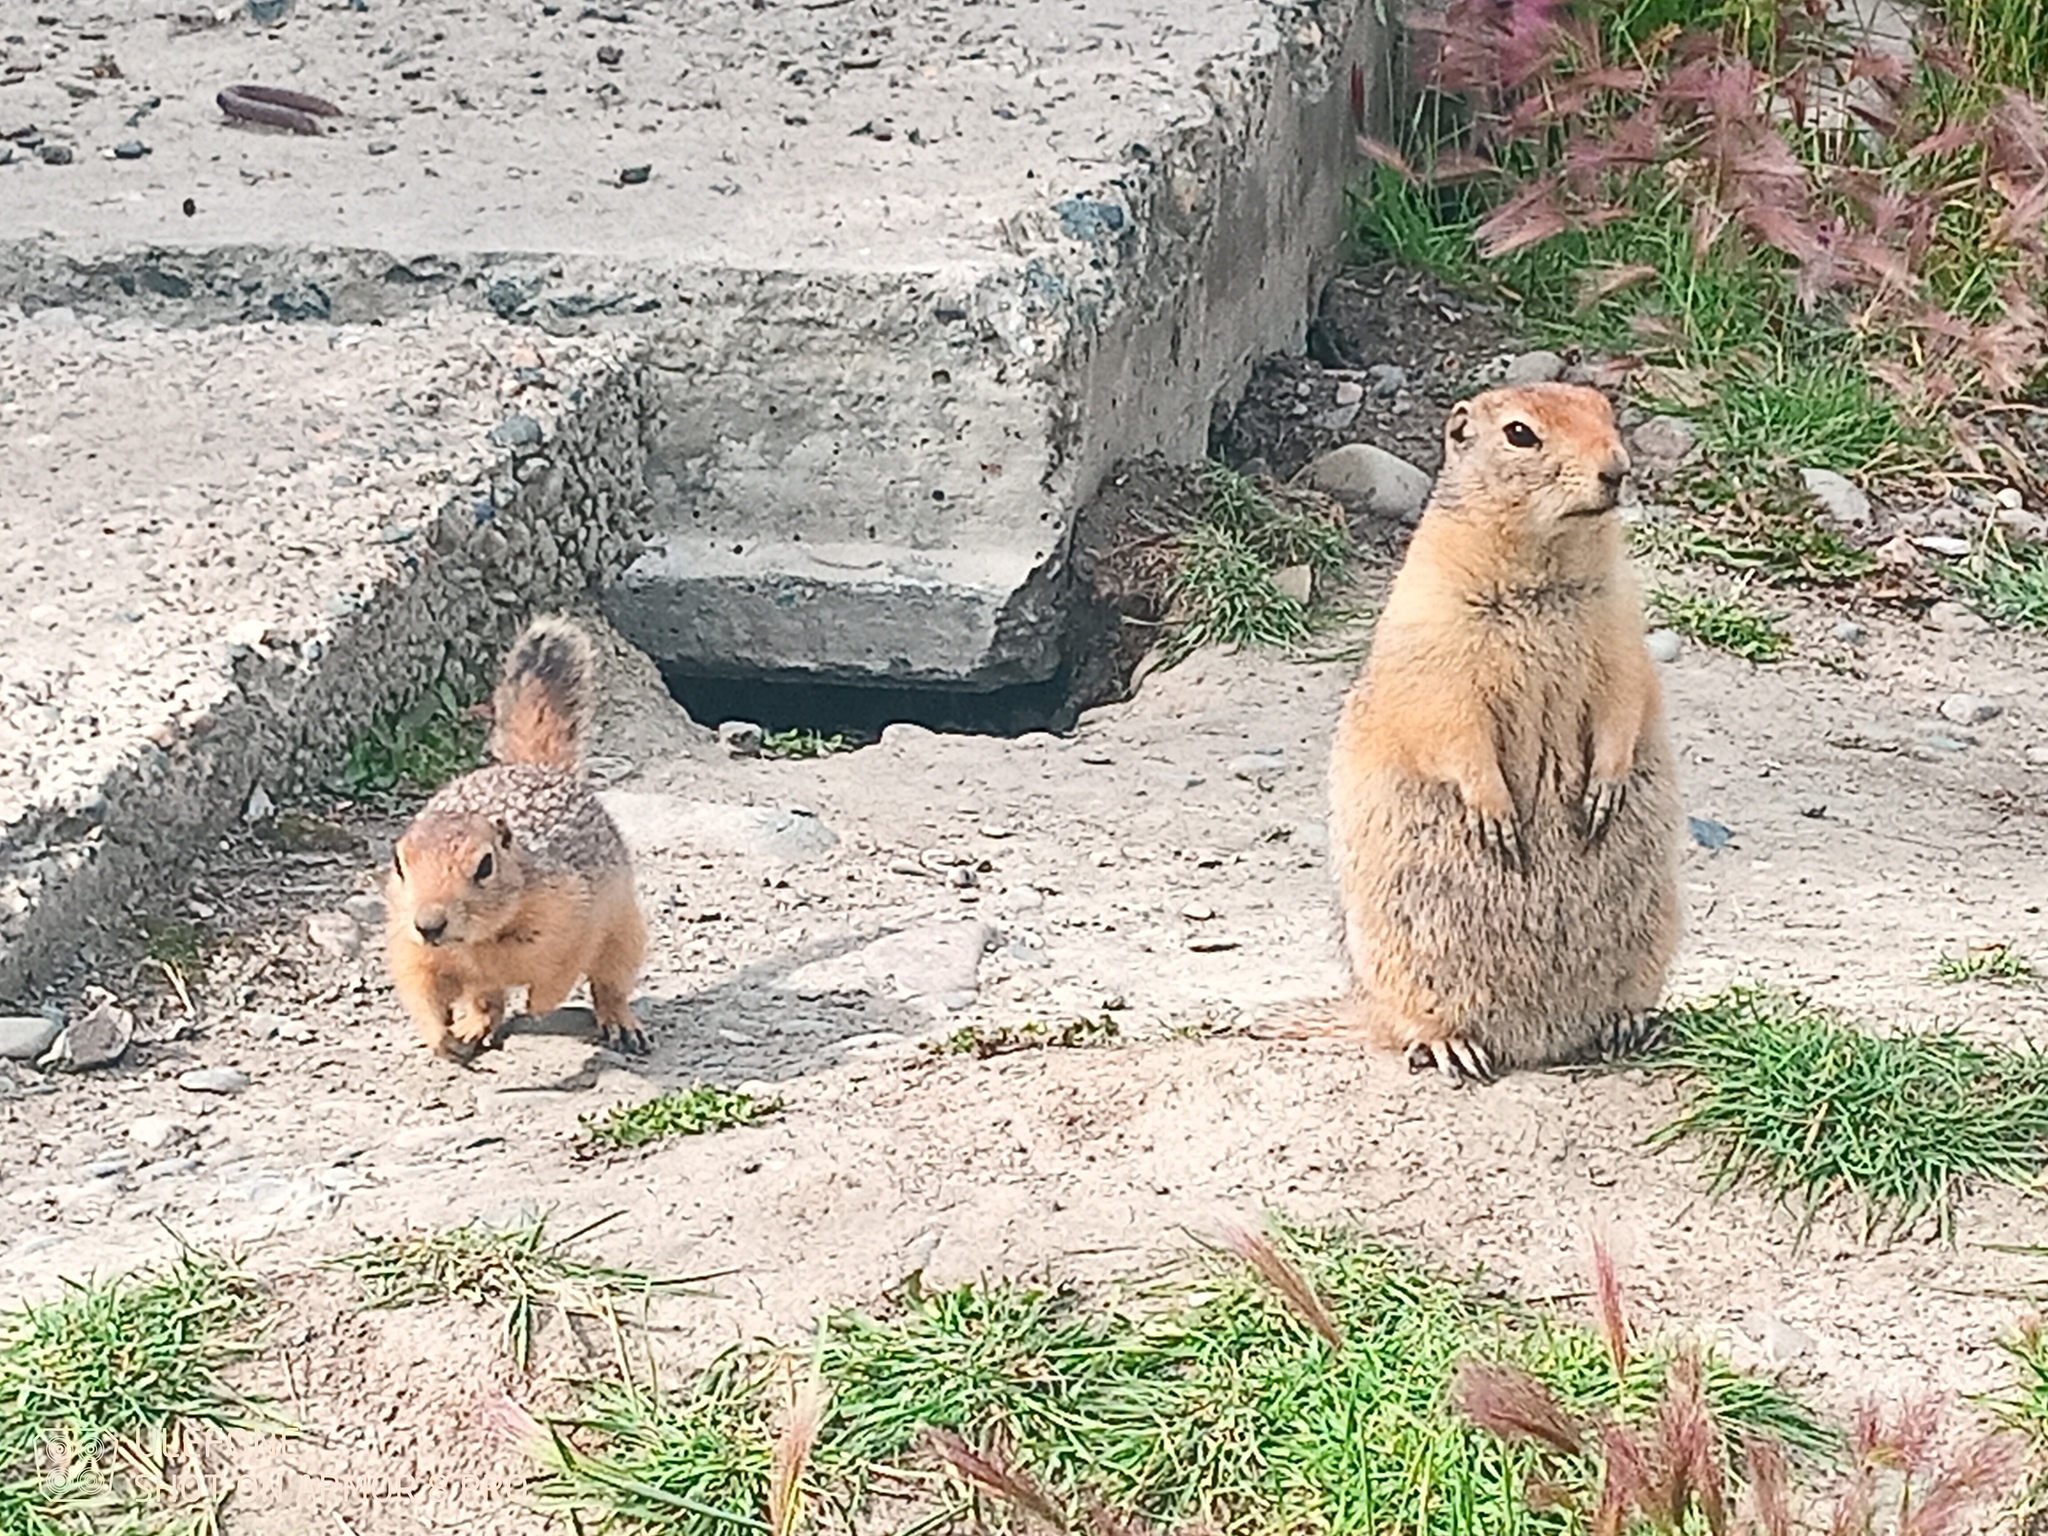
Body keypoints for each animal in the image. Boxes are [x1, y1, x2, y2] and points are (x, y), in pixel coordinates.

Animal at [380, 614, 643, 1056]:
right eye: (399, 865)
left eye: (484, 865)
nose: (429, 924)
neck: (478, 941)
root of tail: (538, 766)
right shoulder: (410, 948)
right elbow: (422, 995)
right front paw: (442, 1039)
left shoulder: (575, 913)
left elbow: (563, 969)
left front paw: (540, 1005)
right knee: (487, 1001)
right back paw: (472, 1028)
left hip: (625, 929)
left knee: (610, 983)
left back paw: (621, 1024)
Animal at [1327, 380, 1679, 1089]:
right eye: (1521, 434)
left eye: (1606, 411)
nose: (1618, 469)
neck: (1545, 575)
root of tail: (1539, 1045)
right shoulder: (1439, 638)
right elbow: (1452, 723)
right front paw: (1497, 815)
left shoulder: (1620, 626)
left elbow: (1626, 696)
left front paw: (1604, 789)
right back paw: (1451, 1047)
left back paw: (1626, 1022)